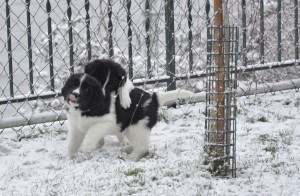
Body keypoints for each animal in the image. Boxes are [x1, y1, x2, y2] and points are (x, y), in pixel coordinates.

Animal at [62, 66, 191, 161]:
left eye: (86, 89)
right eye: (72, 85)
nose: (74, 94)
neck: (84, 109)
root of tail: (153, 98)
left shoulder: (106, 123)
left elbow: (92, 131)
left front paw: (86, 147)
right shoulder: (76, 127)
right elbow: (73, 143)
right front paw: (70, 157)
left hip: (137, 127)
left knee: (142, 146)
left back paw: (131, 157)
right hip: (132, 129)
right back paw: (125, 150)